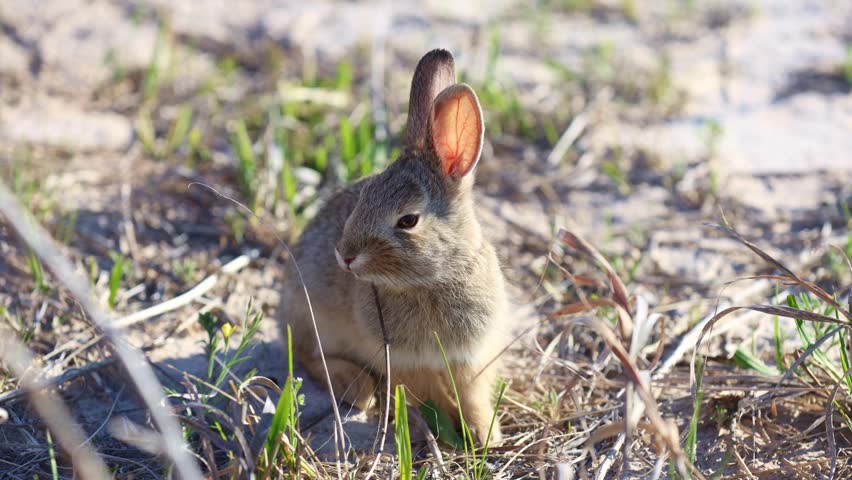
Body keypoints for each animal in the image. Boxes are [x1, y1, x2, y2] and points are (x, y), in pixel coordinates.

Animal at [280, 49, 510, 444]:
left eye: (408, 220)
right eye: (363, 194)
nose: (345, 256)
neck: (433, 280)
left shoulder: (472, 358)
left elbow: (472, 397)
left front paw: (485, 434)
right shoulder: (404, 363)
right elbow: (428, 395)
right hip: (312, 317)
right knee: (308, 356)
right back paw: (357, 387)